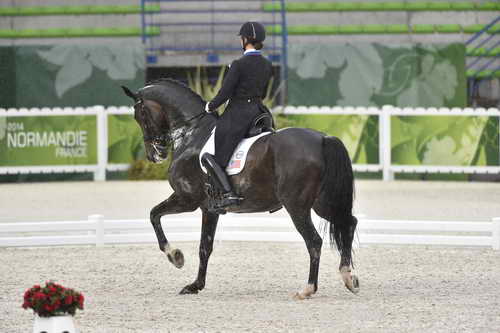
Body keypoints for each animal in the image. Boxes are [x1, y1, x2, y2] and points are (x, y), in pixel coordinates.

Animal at [121, 78, 360, 298]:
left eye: (139, 115)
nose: (155, 155)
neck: (192, 133)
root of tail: (323, 138)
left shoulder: (186, 199)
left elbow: (154, 215)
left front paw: (176, 257)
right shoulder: (209, 208)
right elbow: (204, 247)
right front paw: (195, 285)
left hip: (296, 206)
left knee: (314, 241)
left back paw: (308, 289)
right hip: (322, 203)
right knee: (348, 223)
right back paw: (349, 278)